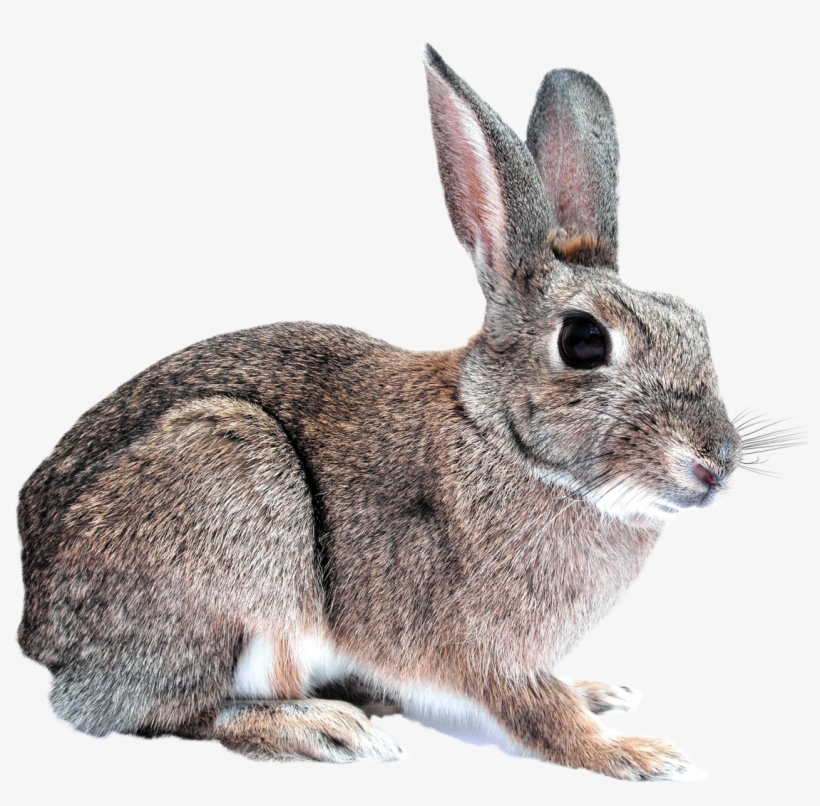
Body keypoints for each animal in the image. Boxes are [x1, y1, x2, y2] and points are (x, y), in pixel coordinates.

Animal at [16, 45, 743, 780]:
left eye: (695, 322)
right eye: (584, 341)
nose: (717, 464)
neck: (501, 441)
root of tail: (35, 628)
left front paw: (599, 693)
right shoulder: (486, 649)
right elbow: (541, 714)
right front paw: (636, 753)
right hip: (229, 498)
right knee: (172, 712)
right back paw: (325, 729)